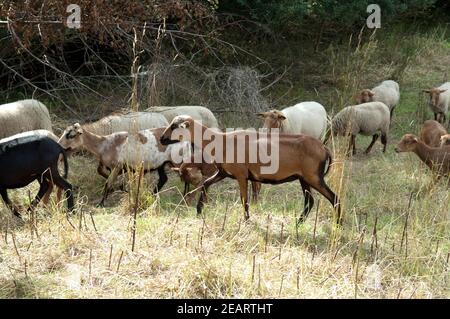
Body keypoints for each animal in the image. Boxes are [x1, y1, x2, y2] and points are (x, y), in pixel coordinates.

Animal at [58, 124, 190, 206]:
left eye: (71, 135)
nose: (59, 145)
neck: (103, 145)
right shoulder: (119, 168)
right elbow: (103, 174)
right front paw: (124, 190)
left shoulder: (117, 166)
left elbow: (108, 183)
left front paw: (101, 203)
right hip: (161, 163)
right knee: (163, 178)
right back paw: (152, 195)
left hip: (177, 160)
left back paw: (185, 197)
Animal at [160, 115, 340, 225]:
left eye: (174, 126)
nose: (162, 139)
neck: (220, 142)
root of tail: (324, 148)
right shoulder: (223, 173)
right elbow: (205, 184)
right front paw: (198, 211)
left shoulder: (241, 175)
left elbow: (244, 200)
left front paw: (247, 222)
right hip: (304, 178)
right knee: (310, 202)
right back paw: (298, 224)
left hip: (314, 177)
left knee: (334, 198)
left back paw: (337, 225)